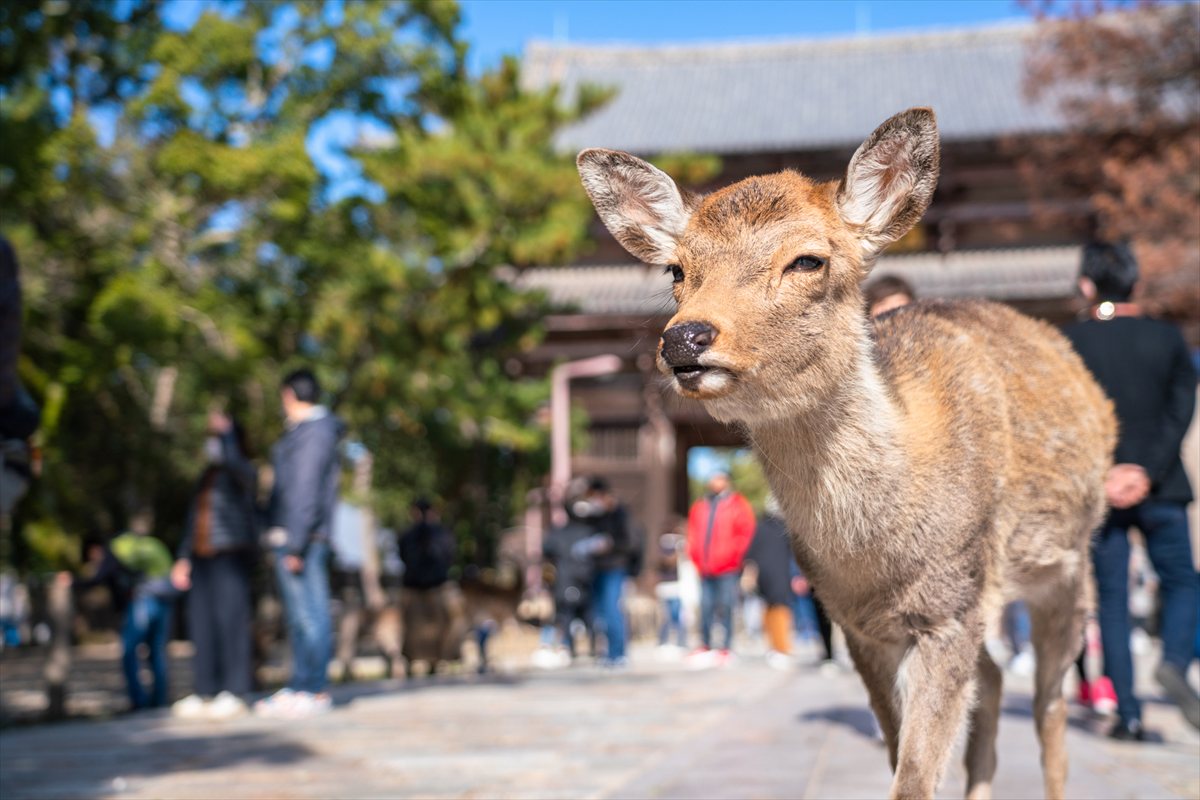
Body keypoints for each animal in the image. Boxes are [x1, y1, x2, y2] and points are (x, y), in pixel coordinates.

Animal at [576, 107, 1108, 800]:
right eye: (676, 270)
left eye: (808, 260)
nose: (684, 338)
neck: (879, 558)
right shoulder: (858, 623)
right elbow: (900, 755)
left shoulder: (954, 602)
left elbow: (915, 778)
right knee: (993, 681)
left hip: (1069, 564)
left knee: (1050, 703)